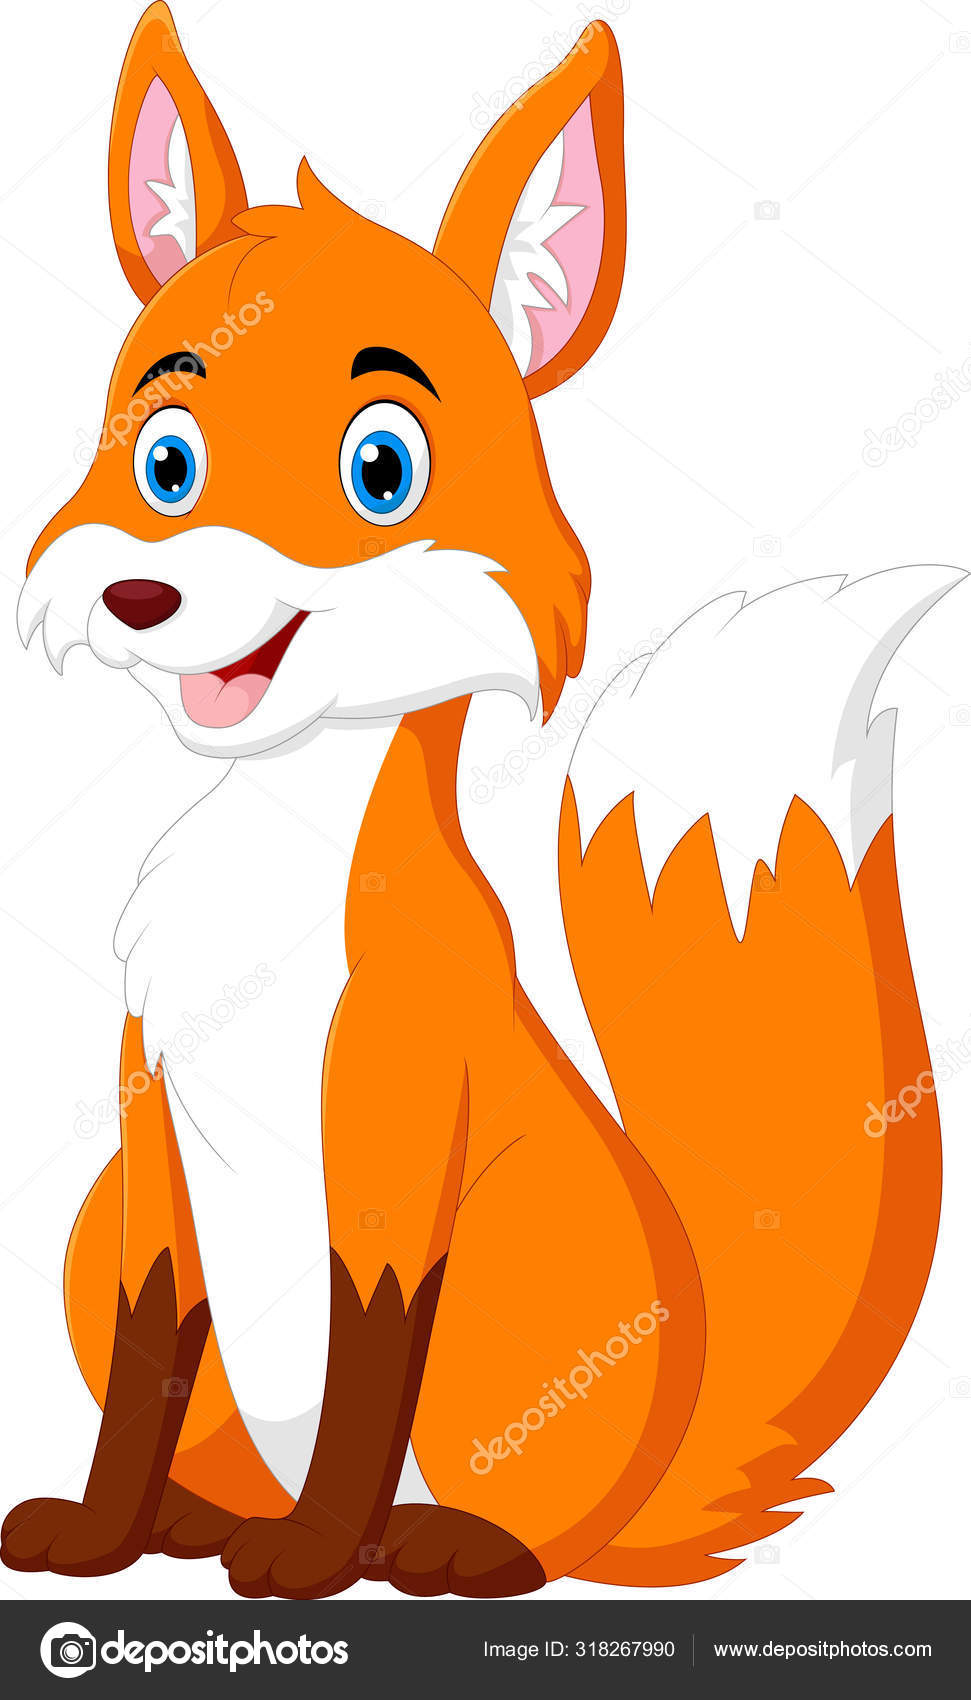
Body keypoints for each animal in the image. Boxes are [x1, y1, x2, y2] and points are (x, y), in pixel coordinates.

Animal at [1, 3, 958, 1601]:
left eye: (379, 468)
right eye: (164, 463)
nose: (146, 595)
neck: (262, 874)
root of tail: (667, 1456)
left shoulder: (393, 1132)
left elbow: (366, 1363)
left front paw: (313, 1557)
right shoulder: (145, 1142)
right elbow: (146, 1359)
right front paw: (101, 1530)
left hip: (524, 1298)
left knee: (513, 1519)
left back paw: (426, 1542)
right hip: (90, 1227)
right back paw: (202, 1523)